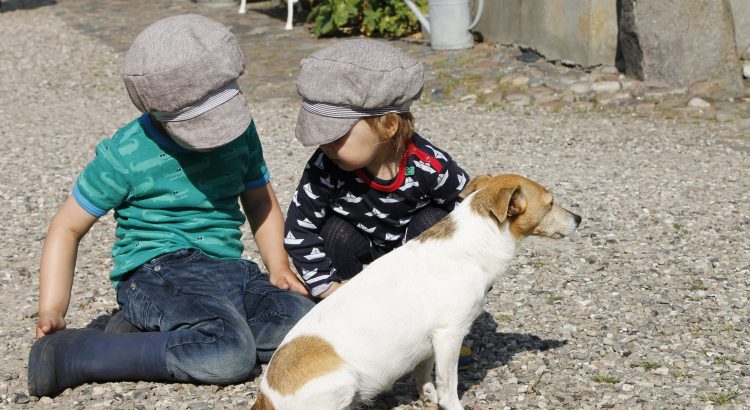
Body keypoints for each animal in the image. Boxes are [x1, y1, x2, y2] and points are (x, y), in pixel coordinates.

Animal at [253, 175, 580, 408]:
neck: (474, 245)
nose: (579, 218)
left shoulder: (428, 344)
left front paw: (427, 396)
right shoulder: (449, 335)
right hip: (342, 382)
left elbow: (424, 375)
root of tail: (264, 397)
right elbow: (449, 387)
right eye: (550, 203)